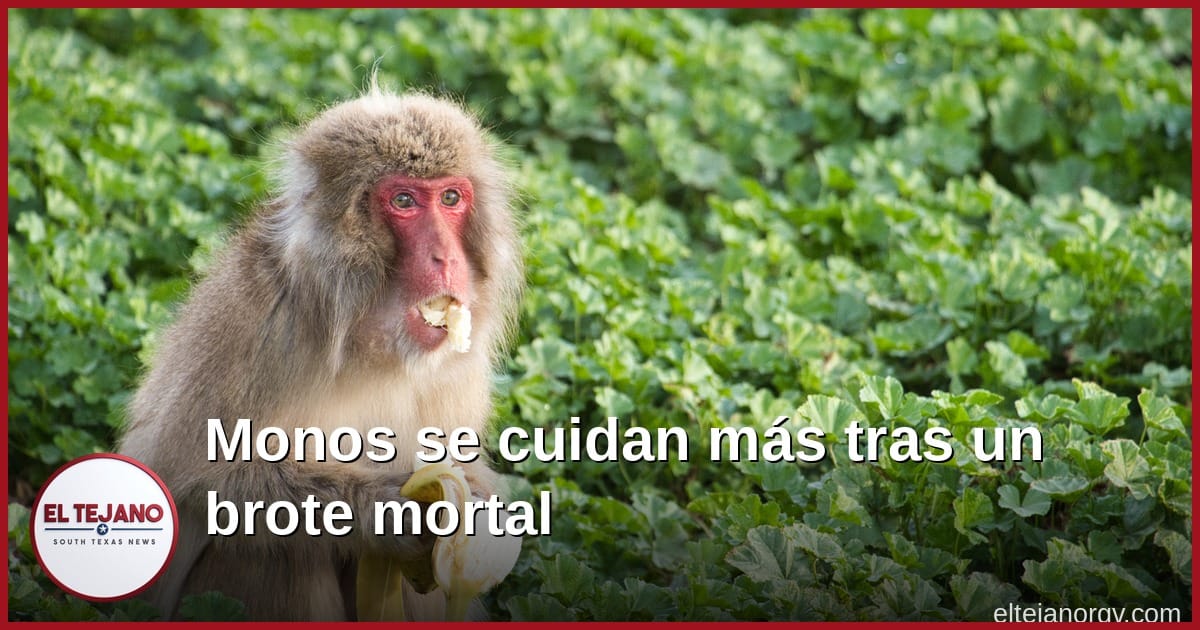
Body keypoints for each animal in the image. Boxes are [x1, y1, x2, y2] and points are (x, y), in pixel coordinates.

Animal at [117, 86, 523, 621]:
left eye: (451, 198)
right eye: (404, 200)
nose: (447, 258)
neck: (366, 344)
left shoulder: (457, 367)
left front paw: (482, 494)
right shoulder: (260, 319)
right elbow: (184, 477)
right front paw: (382, 510)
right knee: (278, 552)